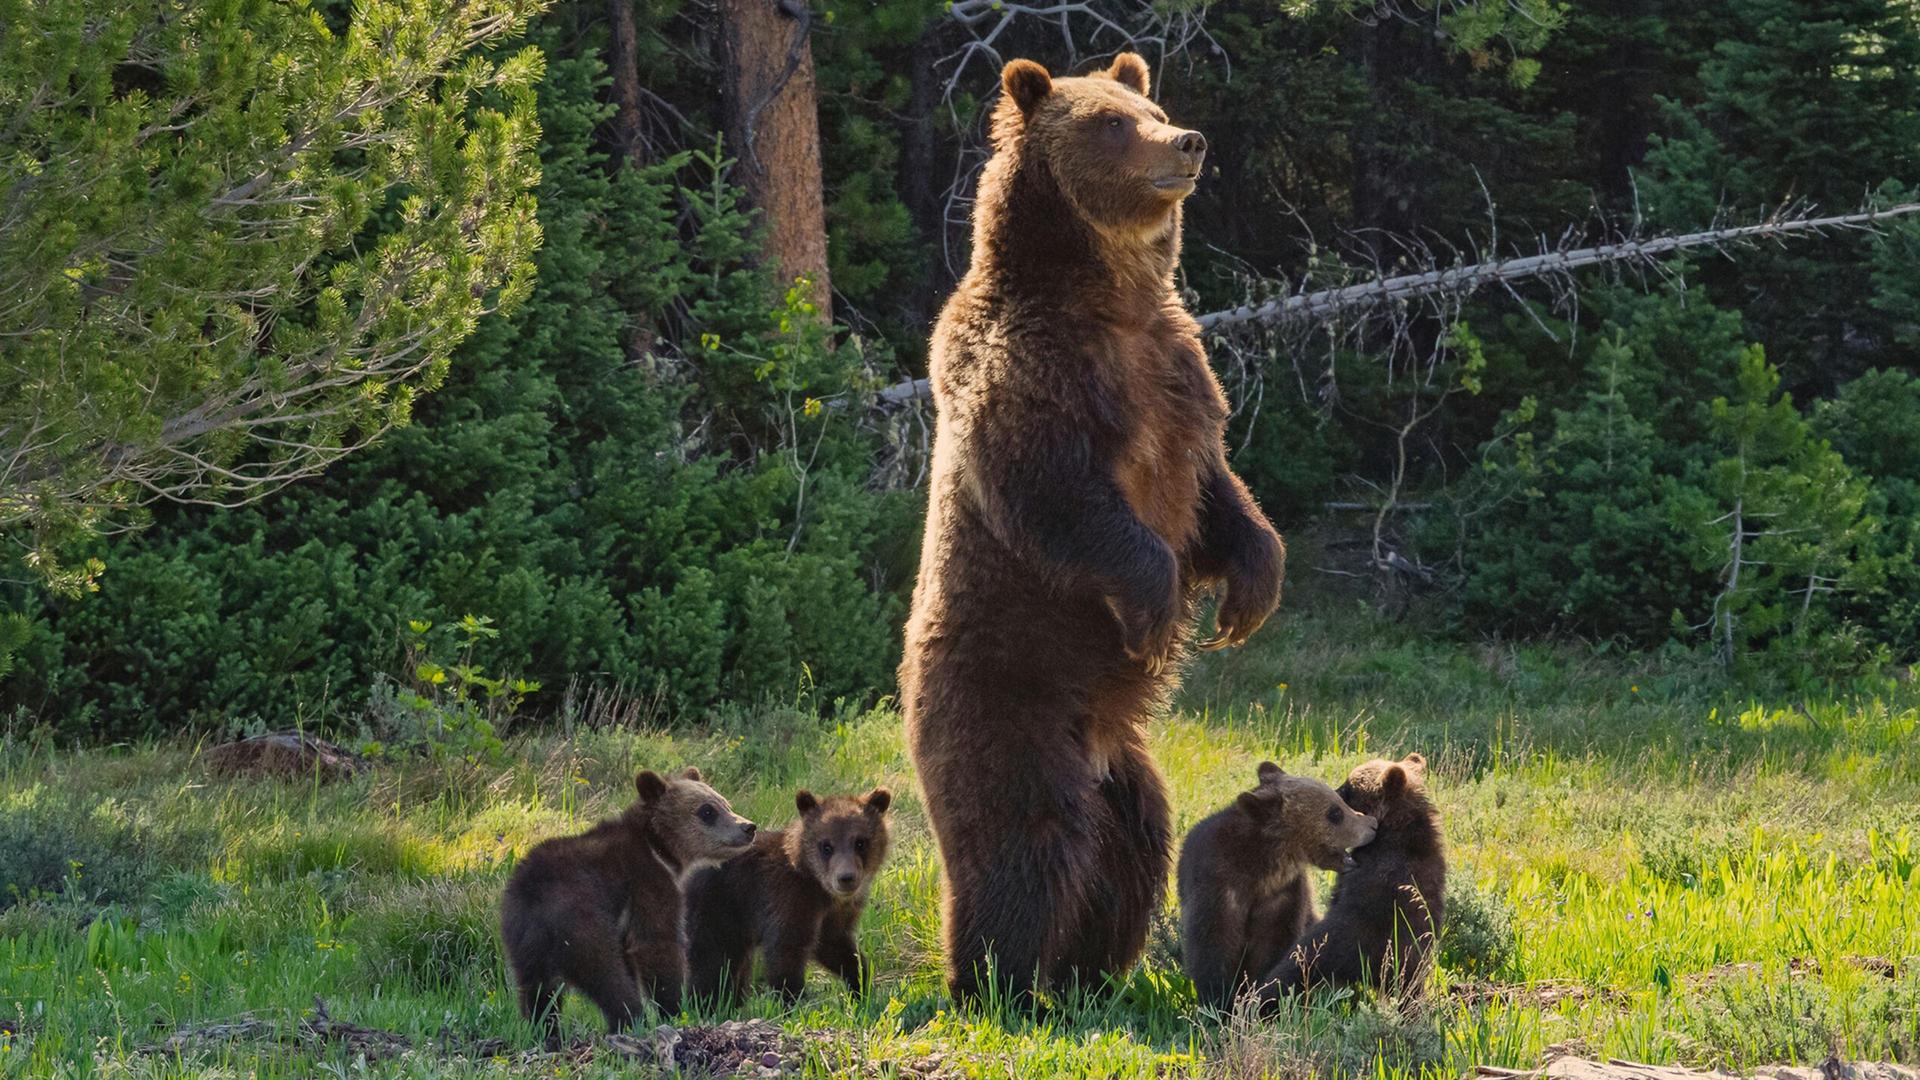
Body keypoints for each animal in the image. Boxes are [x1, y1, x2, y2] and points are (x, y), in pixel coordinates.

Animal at [498, 766, 756, 1040]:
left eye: (724, 803)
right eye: (707, 811)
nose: (748, 827)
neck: (659, 848)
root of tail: (534, 896)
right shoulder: (646, 882)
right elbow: (656, 944)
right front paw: (675, 1009)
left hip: (522, 938)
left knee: (536, 990)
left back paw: (546, 1030)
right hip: (580, 921)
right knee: (608, 975)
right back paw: (630, 1019)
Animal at [683, 787, 893, 1004]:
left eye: (860, 842)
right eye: (826, 846)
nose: (846, 878)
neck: (818, 886)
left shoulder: (835, 914)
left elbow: (835, 945)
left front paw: (861, 985)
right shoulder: (786, 898)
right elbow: (785, 951)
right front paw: (793, 999)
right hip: (712, 911)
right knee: (711, 964)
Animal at [898, 51, 1287, 1003]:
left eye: (1153, 106)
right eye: (1111, 124)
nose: (1187, 141)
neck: (1111, 298)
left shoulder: (1179, 373)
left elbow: (1219, 494)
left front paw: (1249, 594)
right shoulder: (1031, 373)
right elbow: (1063, 498)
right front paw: (1157, 610)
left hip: (1126, 768)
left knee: (1133, 845)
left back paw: (1092, 972)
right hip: (1006, 703)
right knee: (1026, 842)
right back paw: (997, 980)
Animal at [1177, 761, 1378, 1011]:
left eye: (1340, 801)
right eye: (1335, 813)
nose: (1372, 825)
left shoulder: (1282, 896)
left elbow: (1273, 949)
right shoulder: (1217, 886)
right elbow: (1213, 949)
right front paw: (1221, 1002)